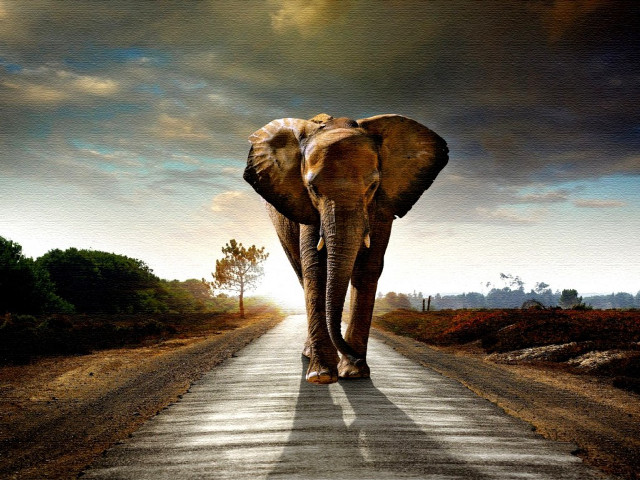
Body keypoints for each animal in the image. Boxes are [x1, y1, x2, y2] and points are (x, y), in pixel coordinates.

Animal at [244, 113, 448, 384]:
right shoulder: (305, 206)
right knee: (301, 272)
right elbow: (316, 269)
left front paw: (354, 373)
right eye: (313, 189)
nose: (356, 357)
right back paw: (310, 356)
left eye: (372, 187)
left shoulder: (382, 206)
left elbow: (368, 268)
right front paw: (322, 376)